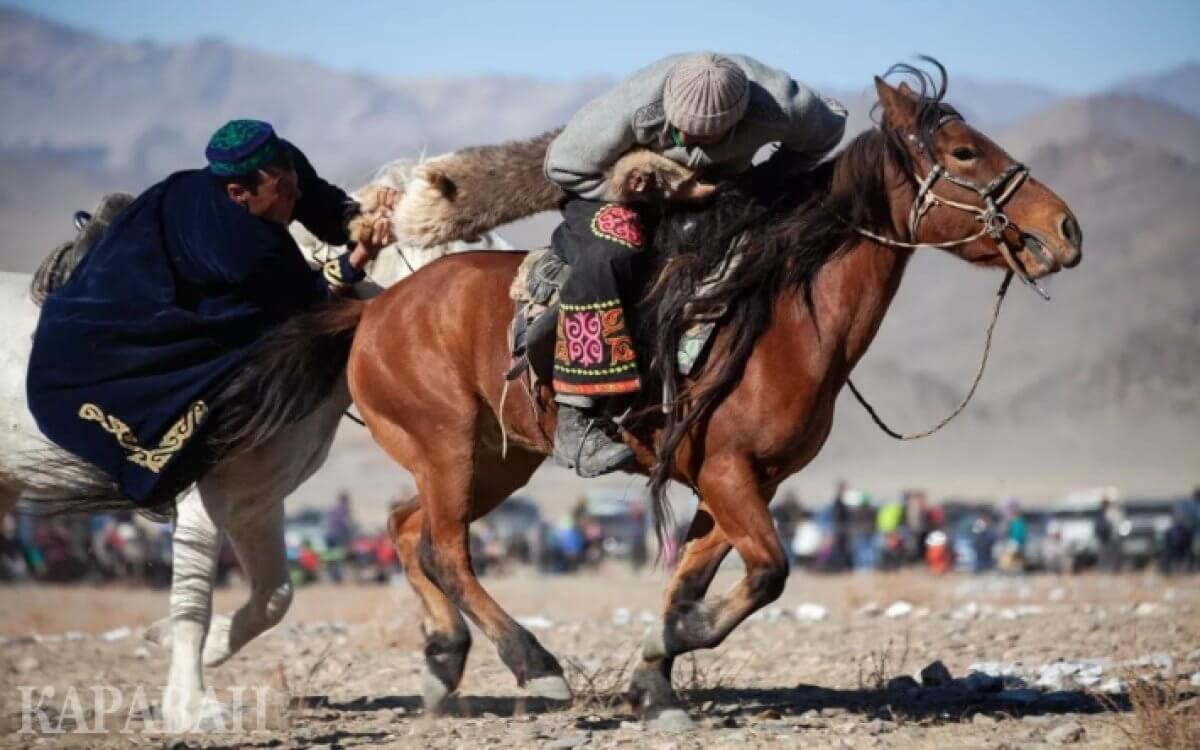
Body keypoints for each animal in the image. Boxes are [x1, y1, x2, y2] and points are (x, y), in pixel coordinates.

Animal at [0, 156, 511, 724]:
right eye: (467, 244)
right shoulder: (200, 496)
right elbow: (194, 602)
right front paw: (192, 706)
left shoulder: (256, 501)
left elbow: (273, 598)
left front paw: (183, 645)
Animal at [302, 68, 1089, 720]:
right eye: (962, 152)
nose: (1065, 228)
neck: (781, 313)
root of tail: (378, 306)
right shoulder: (727, 472)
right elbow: (769, 573)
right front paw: (667, 644)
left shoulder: (746, 482)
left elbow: (692, 579)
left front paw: (653, 676)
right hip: (448, 448)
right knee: (446, 549)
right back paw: (535, 665)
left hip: (496, 458)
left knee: (406, 528)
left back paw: (444, 662)